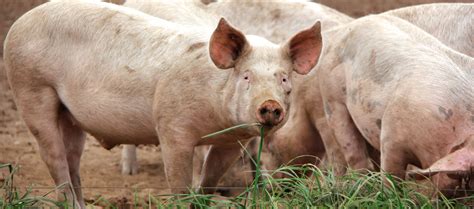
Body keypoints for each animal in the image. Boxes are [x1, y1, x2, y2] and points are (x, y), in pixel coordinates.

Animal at [2, 0, 322, 207]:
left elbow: (208, 179)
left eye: (283, 78)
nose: (270, 105)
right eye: (246, 76)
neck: (214, 121)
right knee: (53, 157)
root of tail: (20, 22)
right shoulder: (172, 127)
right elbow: (179, 184)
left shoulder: (232, 140)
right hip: (31, 89)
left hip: (69, 114)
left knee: (72, 158)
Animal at [314, 13, 474, 194]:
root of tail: (343, 29)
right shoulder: (391, 134)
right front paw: (389, 193)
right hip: (331, 99)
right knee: (353, 153)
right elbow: (392, 174)